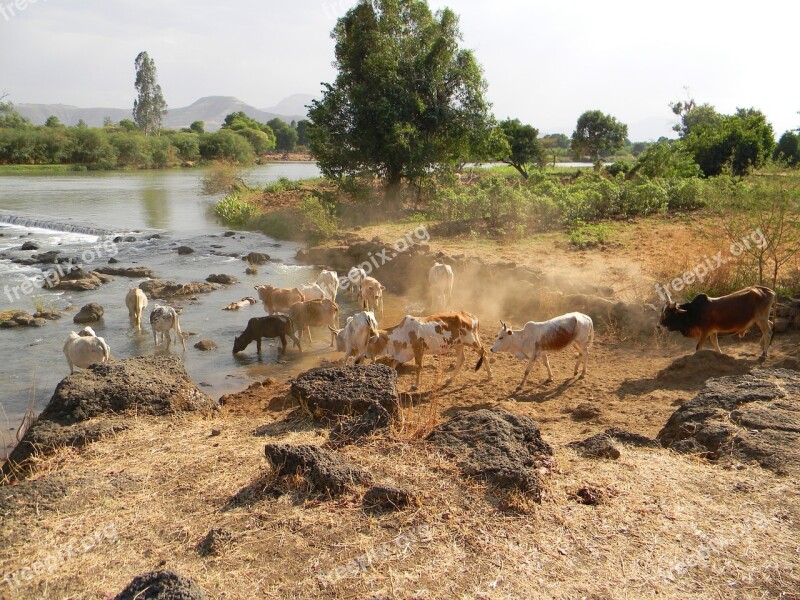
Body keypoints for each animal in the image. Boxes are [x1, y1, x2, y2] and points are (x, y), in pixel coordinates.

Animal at [364, 310, 494, 390]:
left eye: (370, 343)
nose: (365, 356)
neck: (402, 333)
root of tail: (472, 316)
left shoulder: (419, 351)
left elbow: (418, 368)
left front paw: (415, 385)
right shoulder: (405, 354)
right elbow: (393, 364)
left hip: (473, 341)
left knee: (484, 353)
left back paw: (490, 376)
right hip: (459, 344)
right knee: (461, 359)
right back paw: (450, 379)